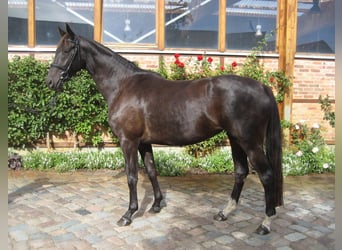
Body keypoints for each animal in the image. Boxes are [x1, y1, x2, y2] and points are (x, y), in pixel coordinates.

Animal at [47, 23, 284, 234]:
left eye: (67, 50)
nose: (50, 81)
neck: (123, 85)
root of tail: (262, 87)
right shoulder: (144, 142)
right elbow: (151, 171)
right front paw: (156, 205)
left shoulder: (128, 141)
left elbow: (131, 176)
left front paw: (128, 214)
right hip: (235, 139)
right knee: (240, 172)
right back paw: (224, 212)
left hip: (250, 142)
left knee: (266, 175)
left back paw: (265, 223)